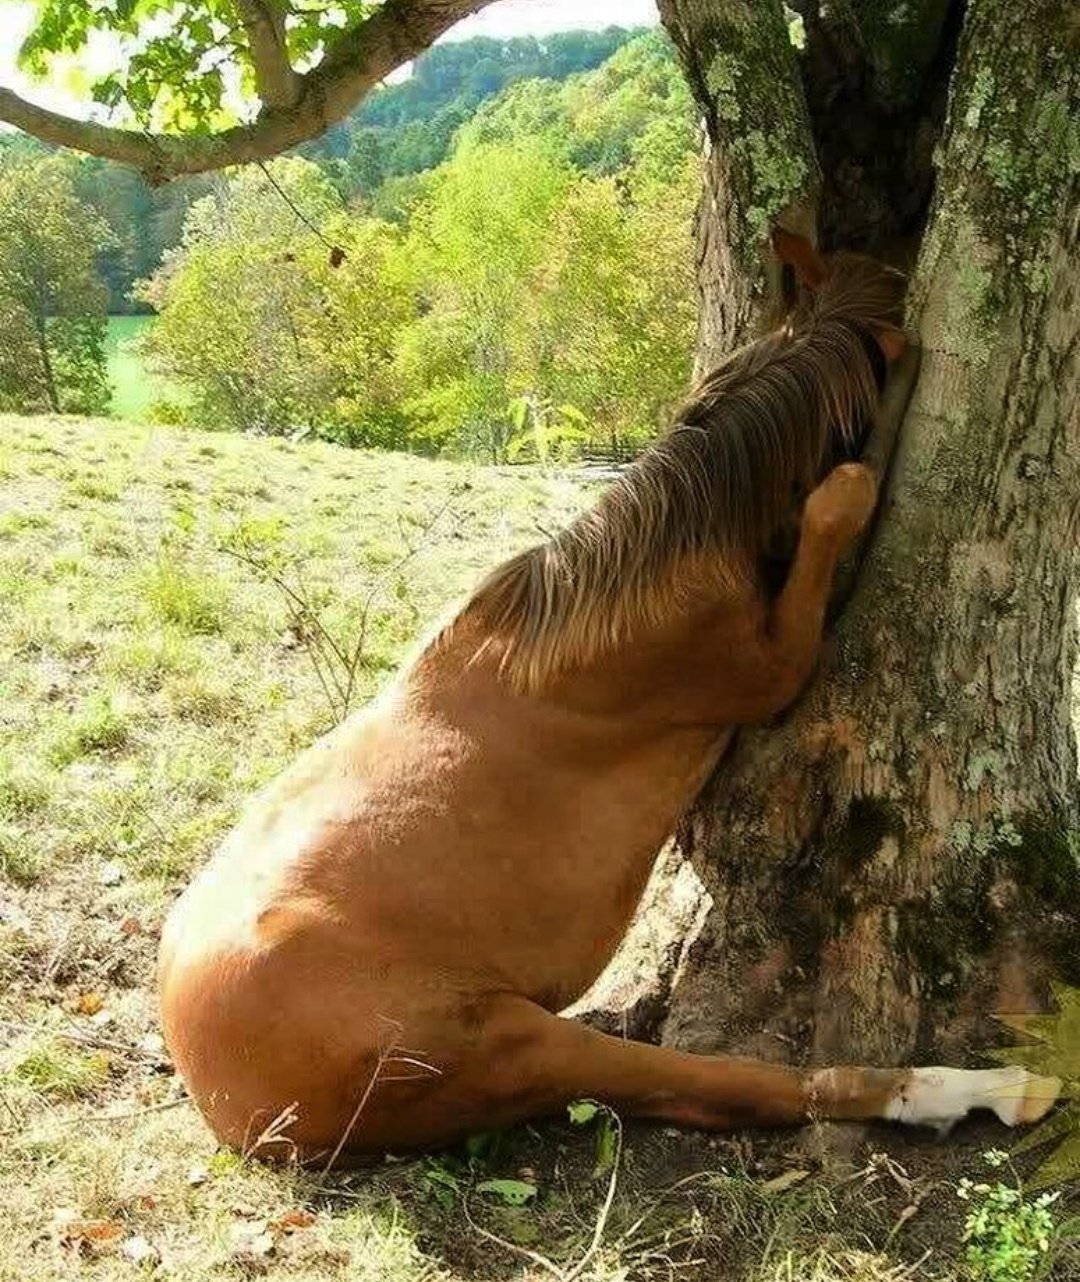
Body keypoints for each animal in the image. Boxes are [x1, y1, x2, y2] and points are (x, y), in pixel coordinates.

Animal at [159, 231, 1059, 1165]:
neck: (661, 561)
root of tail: (217, 1094)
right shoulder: (776, 665)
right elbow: (843, 499)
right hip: (518, 1046)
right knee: (742, 1086)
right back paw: (977, 1088)